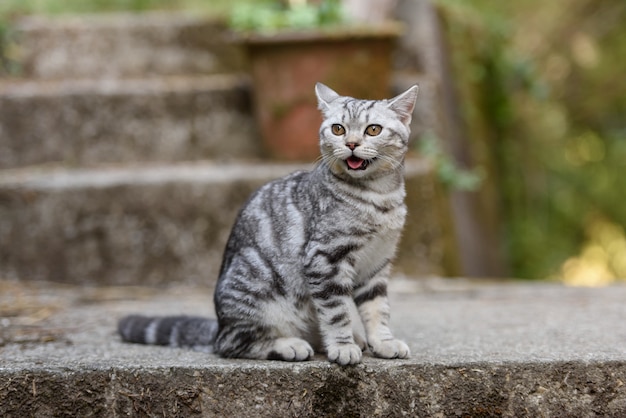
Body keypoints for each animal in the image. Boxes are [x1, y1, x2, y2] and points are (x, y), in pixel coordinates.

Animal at [119, 82, 416, 366]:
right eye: (338, 129)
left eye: (373, 129)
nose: (352, 143)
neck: (381, 197)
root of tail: (219, 325)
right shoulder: (324, 259)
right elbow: (336, 312)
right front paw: (343, 347)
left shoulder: (377, 263)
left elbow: (377, 308)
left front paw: (383, 342)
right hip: (254, 286)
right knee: (231, 343)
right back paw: (290, 345)